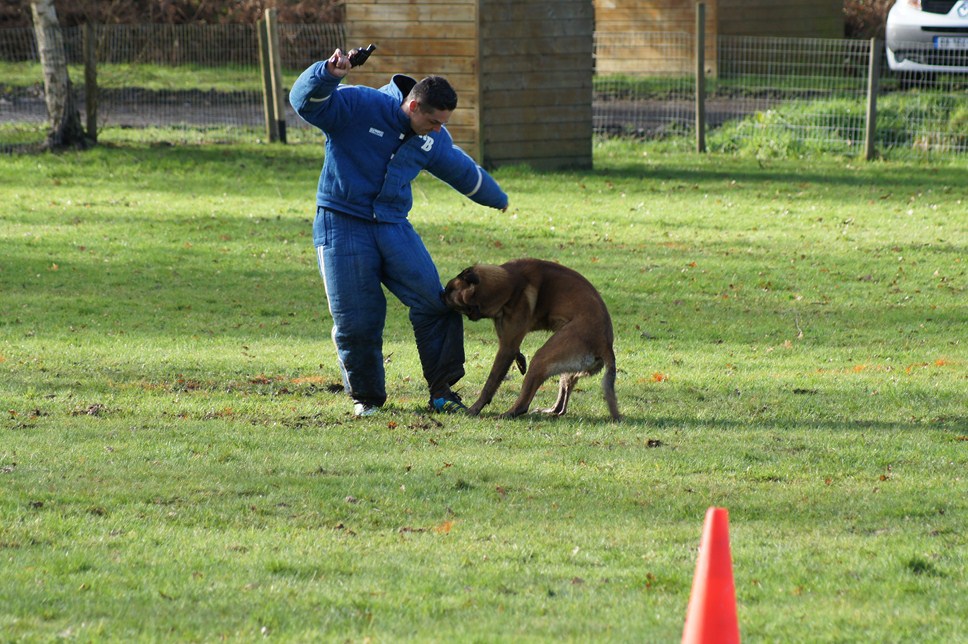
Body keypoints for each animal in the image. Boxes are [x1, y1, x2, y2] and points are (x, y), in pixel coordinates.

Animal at [440, 260, 620, 420]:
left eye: (449, 289)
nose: (440, 294)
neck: (508, 285)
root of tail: (606, 344)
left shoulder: (506, 347)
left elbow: (491, 383)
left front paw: (474, 409)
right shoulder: (508, 339)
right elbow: (514, 352)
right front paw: (520, 360)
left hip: (543, 357)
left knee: (523, 404)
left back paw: (506, 415)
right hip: (567, 369)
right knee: (562, 401)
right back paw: (551, 411)